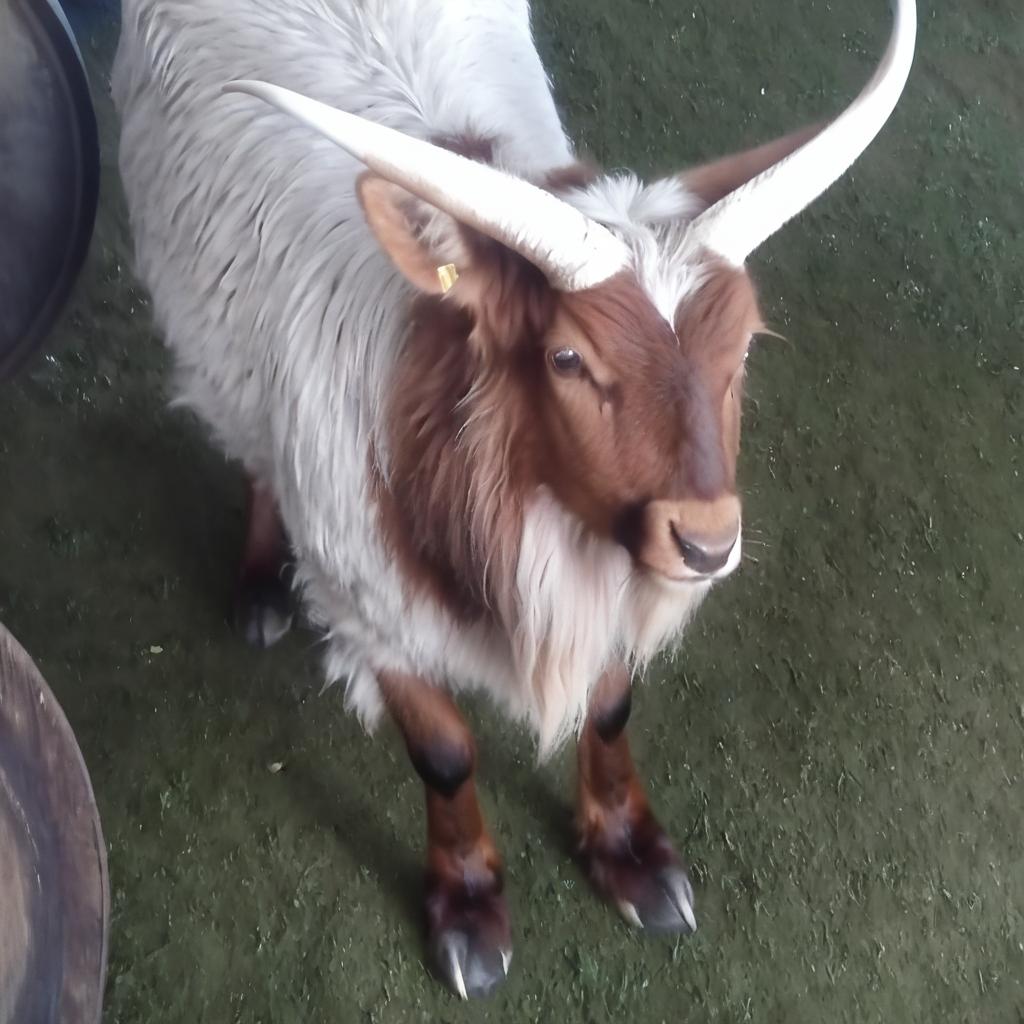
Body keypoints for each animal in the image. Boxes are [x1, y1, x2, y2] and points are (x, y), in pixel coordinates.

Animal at [112, 0, 915, 998]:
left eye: (742, 349)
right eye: (569, 359)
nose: (706, 543)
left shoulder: (615, 568)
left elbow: (609, 709)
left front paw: (629, 853)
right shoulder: (373, 604)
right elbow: (446, 753)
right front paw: (467, 905)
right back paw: (261, 580)